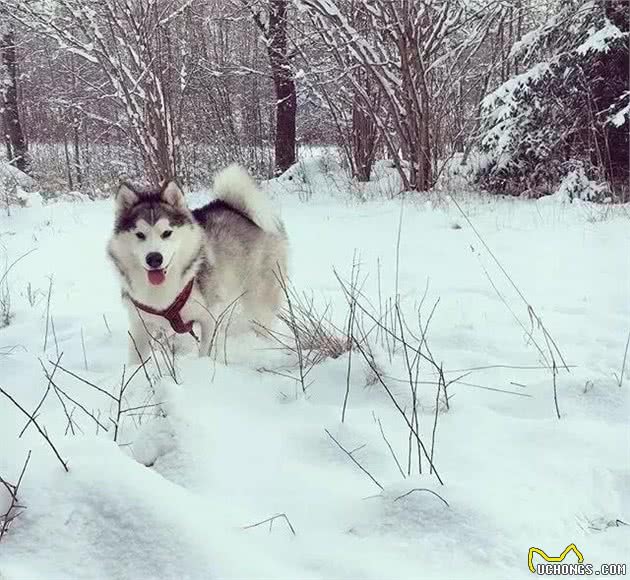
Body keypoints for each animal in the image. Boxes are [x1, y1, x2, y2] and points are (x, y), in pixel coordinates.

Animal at [108, 164, 288, 362]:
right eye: (140, 235)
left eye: (167, 233)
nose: (154, 258)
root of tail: (235, 207)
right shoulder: (140, 324)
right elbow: (137, 359)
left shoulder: (209, 315)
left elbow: (206, 350)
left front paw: (205, 364)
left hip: (258, 294)